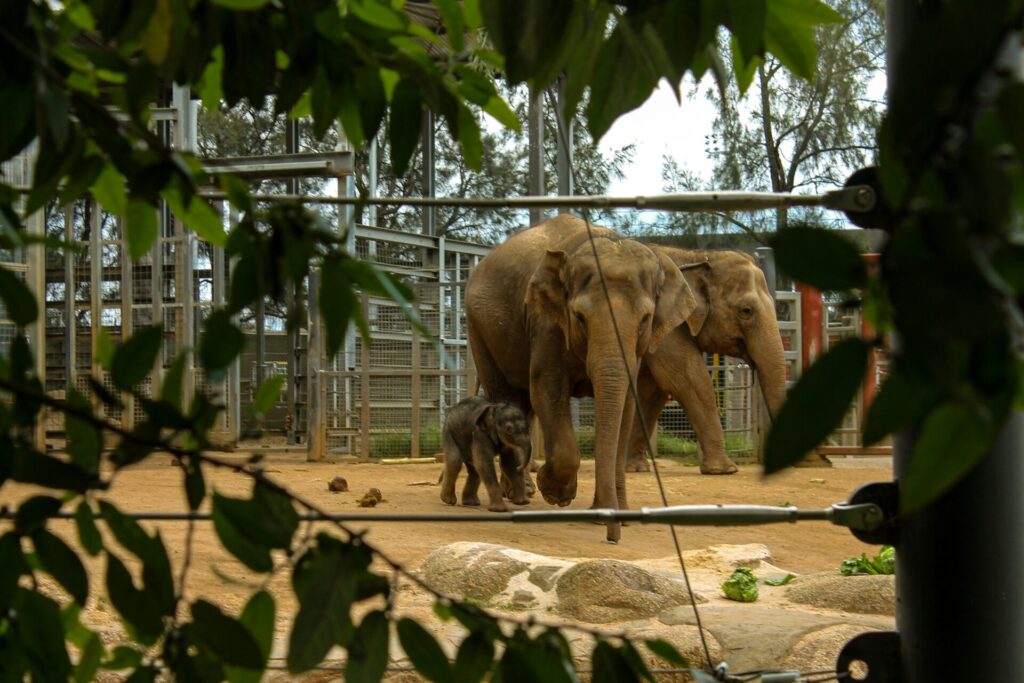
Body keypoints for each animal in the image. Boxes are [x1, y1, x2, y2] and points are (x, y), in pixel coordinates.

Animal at [468, 216, 700, 540]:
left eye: (645, 320)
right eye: (580, 317)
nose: (613, 538)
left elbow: (626, 406)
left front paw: (615, 515)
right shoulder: (546, 323)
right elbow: (547, 386)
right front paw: (556, 493)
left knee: (522, 405)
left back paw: (523, 490)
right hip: (479, 329)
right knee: (506, 394)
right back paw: (520, 493)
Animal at [622, 246, 782, 475]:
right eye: (746, 311)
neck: (698, 257)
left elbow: (651, 391)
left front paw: (635, 469)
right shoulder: (669, 326)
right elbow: (688, 379)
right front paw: (725, 470)